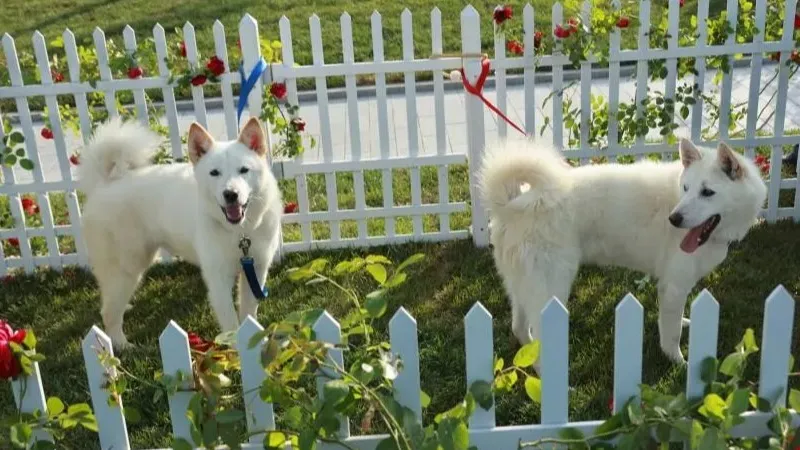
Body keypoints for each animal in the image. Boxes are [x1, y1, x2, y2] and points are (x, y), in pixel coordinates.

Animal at [78, 116, 282, 348]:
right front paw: (237, 350)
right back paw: (122, 345)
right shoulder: (218, 278)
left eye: (244, 170)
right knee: (108, 311)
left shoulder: (256, 270)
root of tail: (105, 183)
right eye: (215, 173)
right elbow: (231, 323)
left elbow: (249, 314)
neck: (240, 231)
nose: (230, 194)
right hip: (126, 268)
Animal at [482, 137, 768, 362]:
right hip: (551, 290)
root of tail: (513, 207)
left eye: (707, 192)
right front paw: (677, 362)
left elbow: (673, 321)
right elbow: (671, 333)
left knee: (520, 328)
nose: (673, 219)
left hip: (521, 287)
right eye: (686, 188)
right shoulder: (674, 286)